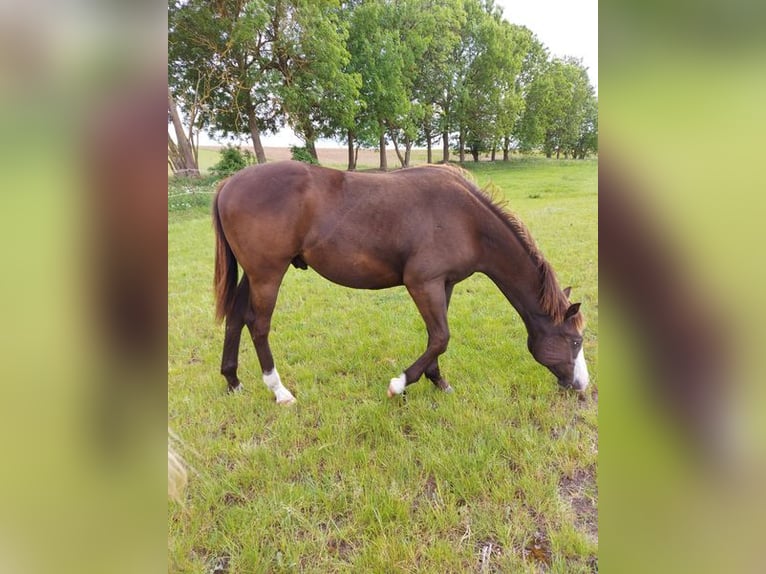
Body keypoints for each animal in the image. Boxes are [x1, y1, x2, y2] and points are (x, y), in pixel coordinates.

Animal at [212, 160, 589, 404]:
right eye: (574, 341)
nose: (581, 386)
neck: (468, 220)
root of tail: (229, 183)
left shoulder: (444, 283)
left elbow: (437, 337)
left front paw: (438, 381)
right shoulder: (422, 283)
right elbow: (441, 337)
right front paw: (400, 384)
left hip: (253, 274)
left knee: (235, 318)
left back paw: (233, 381)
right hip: (268, 274)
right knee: (258, 325)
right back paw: (279, 391)